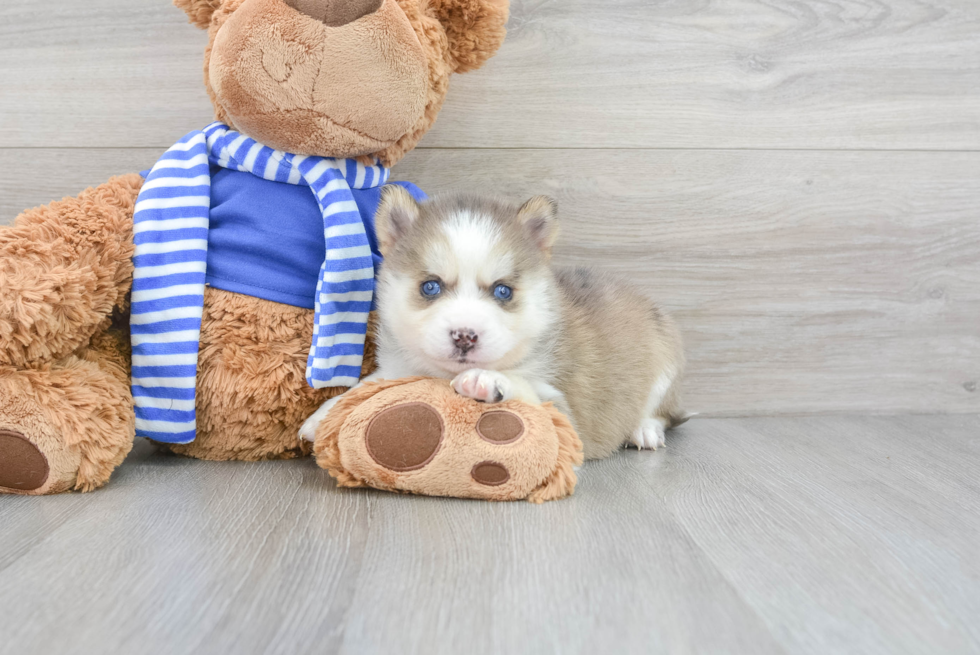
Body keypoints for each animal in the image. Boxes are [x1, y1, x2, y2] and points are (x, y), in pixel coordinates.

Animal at [302, 187, 684, 458]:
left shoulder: (565, 417)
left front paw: (489, 379)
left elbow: (523, 384)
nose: (464, 336)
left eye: (503, 291)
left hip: (665, 361)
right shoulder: (398, 368)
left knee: (662, 413)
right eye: (430, 286)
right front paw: (323, 414)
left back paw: (644, 429)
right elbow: (366, 385)